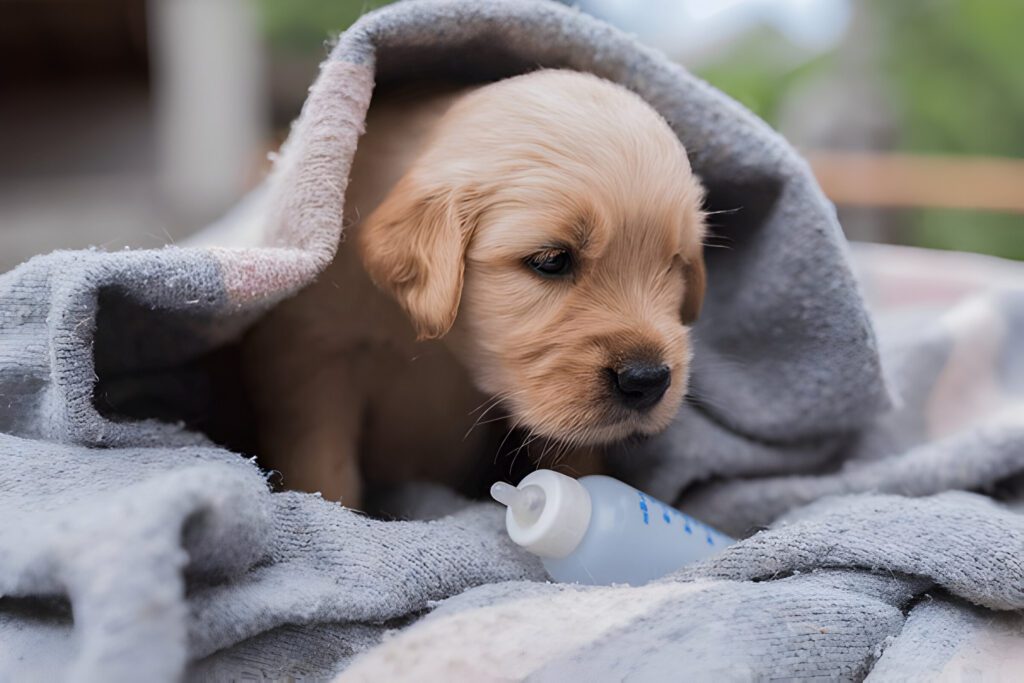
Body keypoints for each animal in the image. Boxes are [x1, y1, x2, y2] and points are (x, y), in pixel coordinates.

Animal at [241, 70, 704, 507]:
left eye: (675, 263)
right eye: (551, 260)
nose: (648, 380)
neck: (432, 344)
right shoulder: (316, 361)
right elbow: (324, 466)